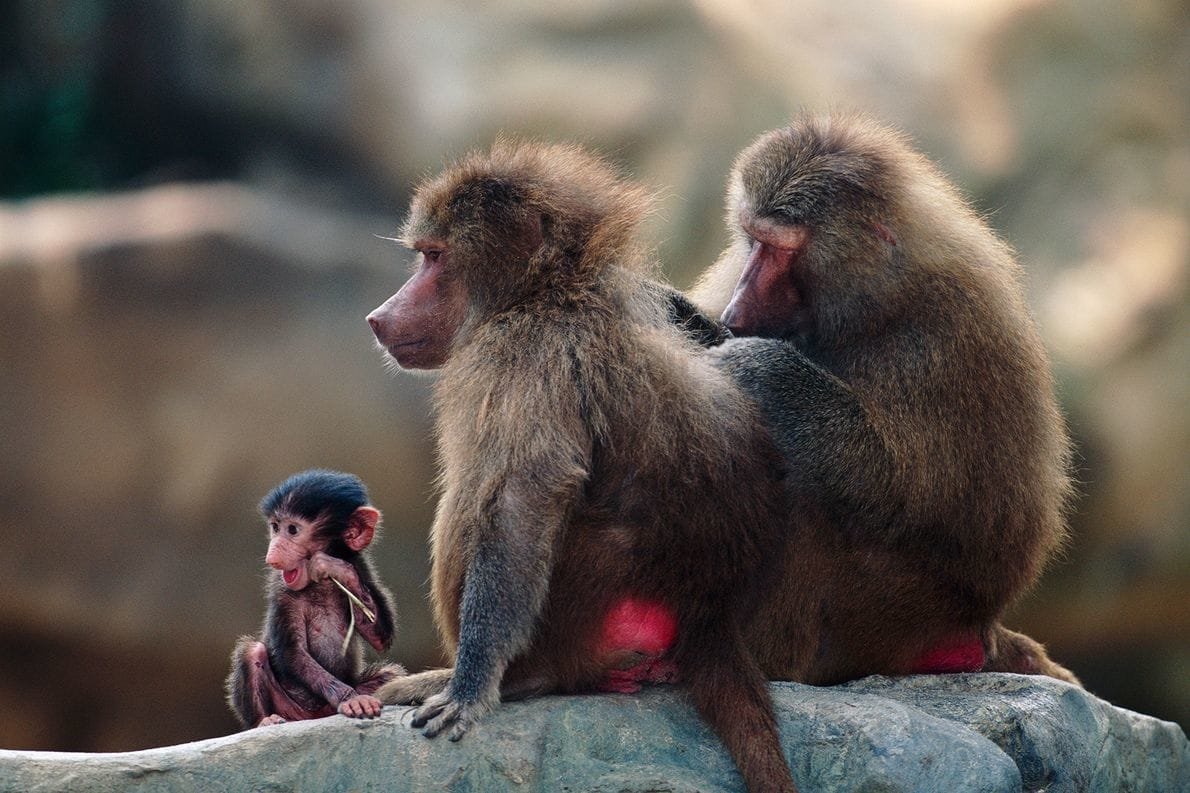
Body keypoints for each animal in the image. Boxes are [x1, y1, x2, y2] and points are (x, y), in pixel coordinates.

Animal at [225, 469, 405, 728]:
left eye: (292, 530)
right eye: (275, 527)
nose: (273, 554)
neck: (319, 584)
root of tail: (315, 716)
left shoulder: (360, 566)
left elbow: (381, 636)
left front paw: (333, 567)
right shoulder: (283, 590)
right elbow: (292, 653)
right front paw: (351, 699)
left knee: (391, 675)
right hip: (289, 708)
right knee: (252, 652)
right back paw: (265, 721)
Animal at [367, 142, 799, 792]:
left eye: (434, 258)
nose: (378, 316)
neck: (549, 289)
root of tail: (706, 609)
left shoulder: (521, 353)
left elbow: (526, 495)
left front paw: (471, 687)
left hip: (584, 610)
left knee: (478, 497)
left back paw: (518, 678)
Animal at [682, 112, 1079, 685]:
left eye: (779, 248)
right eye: (751, 240)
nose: (736, 310)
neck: (873, 301)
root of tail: (980, 626)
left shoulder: (943, 336)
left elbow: (900, 491)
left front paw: (761, 369)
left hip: (892, 614)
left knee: (803, 486)